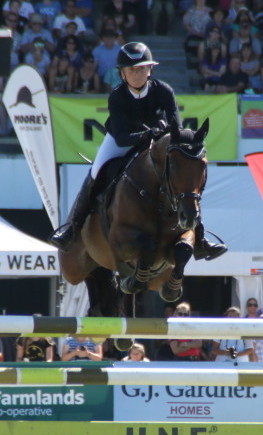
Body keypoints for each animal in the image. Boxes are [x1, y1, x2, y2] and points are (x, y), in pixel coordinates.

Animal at [58, 116, 209, 314]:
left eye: (203, 165)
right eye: (173, 164)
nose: (190, 216)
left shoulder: (183, 234)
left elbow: (184, 248)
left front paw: (171, 290)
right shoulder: (119, 238)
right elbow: (147, 246)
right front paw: (131, 281)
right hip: (73, 267)